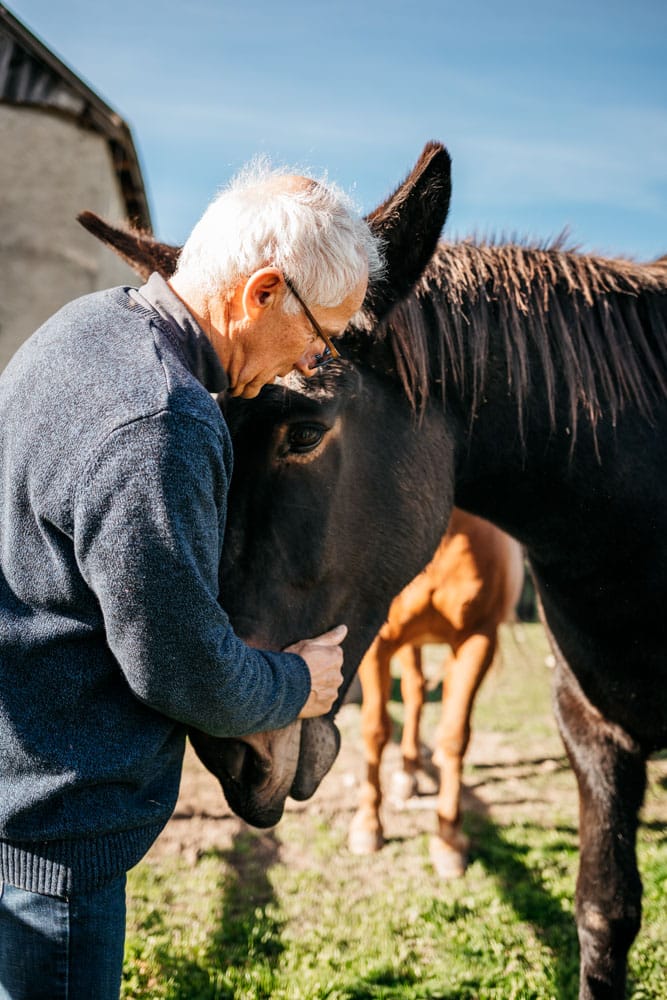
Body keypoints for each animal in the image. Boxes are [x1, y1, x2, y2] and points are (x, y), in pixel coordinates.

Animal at [348, 508, 524, 876]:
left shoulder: (477, 641)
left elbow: (455, 736)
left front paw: (449, 841)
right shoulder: (377, 642)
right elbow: (376, 730)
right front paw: (367, 826)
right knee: (414, 692)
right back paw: (408, 773)